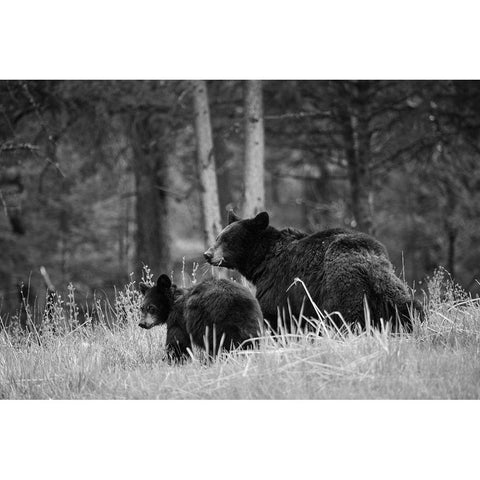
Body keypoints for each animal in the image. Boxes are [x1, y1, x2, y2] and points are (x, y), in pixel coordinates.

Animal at [204, 210, 422, 334]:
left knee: (347, 319)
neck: (263, 260)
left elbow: (274, 315)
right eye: (218, 236)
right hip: (390, 288)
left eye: (228, 240)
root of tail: (367, 261)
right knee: (408, 309)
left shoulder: (279, 284)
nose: (207, 254)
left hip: (342, 289)